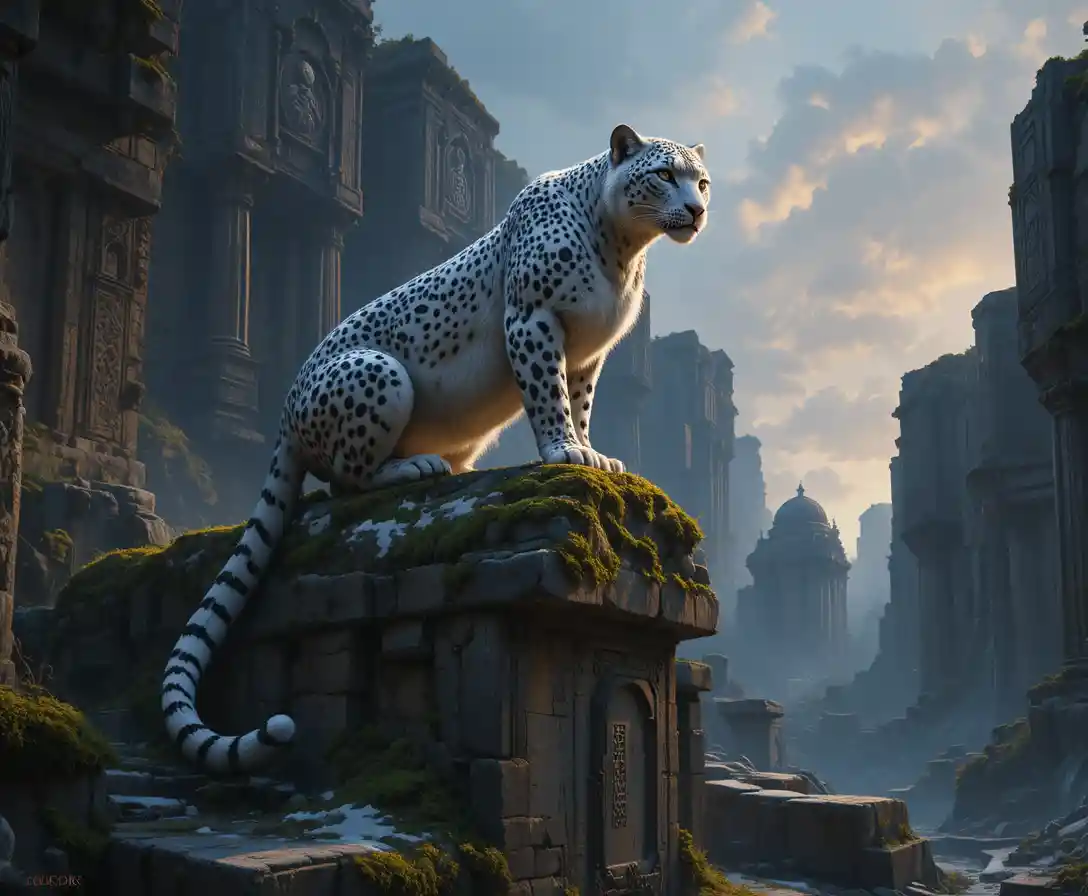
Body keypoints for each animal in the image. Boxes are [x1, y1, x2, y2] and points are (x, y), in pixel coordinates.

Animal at [161, 124, 712, 773]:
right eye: (664, 175)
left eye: (701, 181)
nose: (698, 210)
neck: (623, 244)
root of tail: (286, 407)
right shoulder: (532, 320)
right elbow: (547, 397)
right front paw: (562, 451)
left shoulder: (586, 354)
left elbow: (578, 403)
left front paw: (591, 452)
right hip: (381, 373)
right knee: (343, 480)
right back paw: (415, 467)